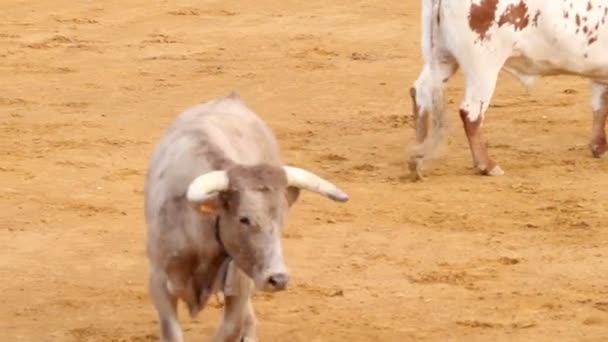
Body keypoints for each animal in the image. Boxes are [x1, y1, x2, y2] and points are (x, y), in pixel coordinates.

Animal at [144, 92, 350, 340]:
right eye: (244, 219)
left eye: (281, 220)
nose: (278, 279)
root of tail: (230, 98)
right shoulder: (159, 283)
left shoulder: (238, 285)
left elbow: (231, 329)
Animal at [408, 0, 608, 180]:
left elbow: (600, 106)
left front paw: (599, 147)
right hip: (483, 66)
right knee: (470, 113)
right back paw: (487, 166)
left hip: (442, 58)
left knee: (421, 93)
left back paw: (417, 160)